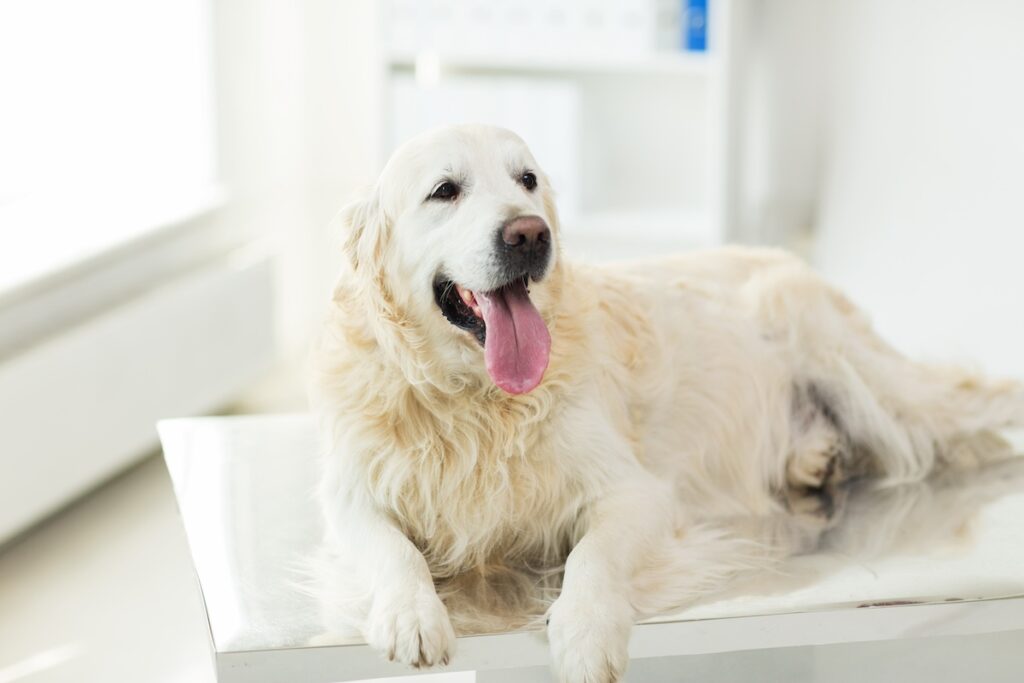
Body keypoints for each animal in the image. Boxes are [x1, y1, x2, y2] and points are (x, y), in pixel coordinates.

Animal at [309, 125, 1024, 679]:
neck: (475, 400)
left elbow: (593, 556)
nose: (529, 235)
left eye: (527, 180)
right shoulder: (351, 495)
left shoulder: (636, 492)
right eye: (444, 191)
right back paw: (817, 458)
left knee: (971, 408)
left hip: (868, 378)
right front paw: (411, 614)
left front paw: (586, 629)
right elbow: (393, 550)